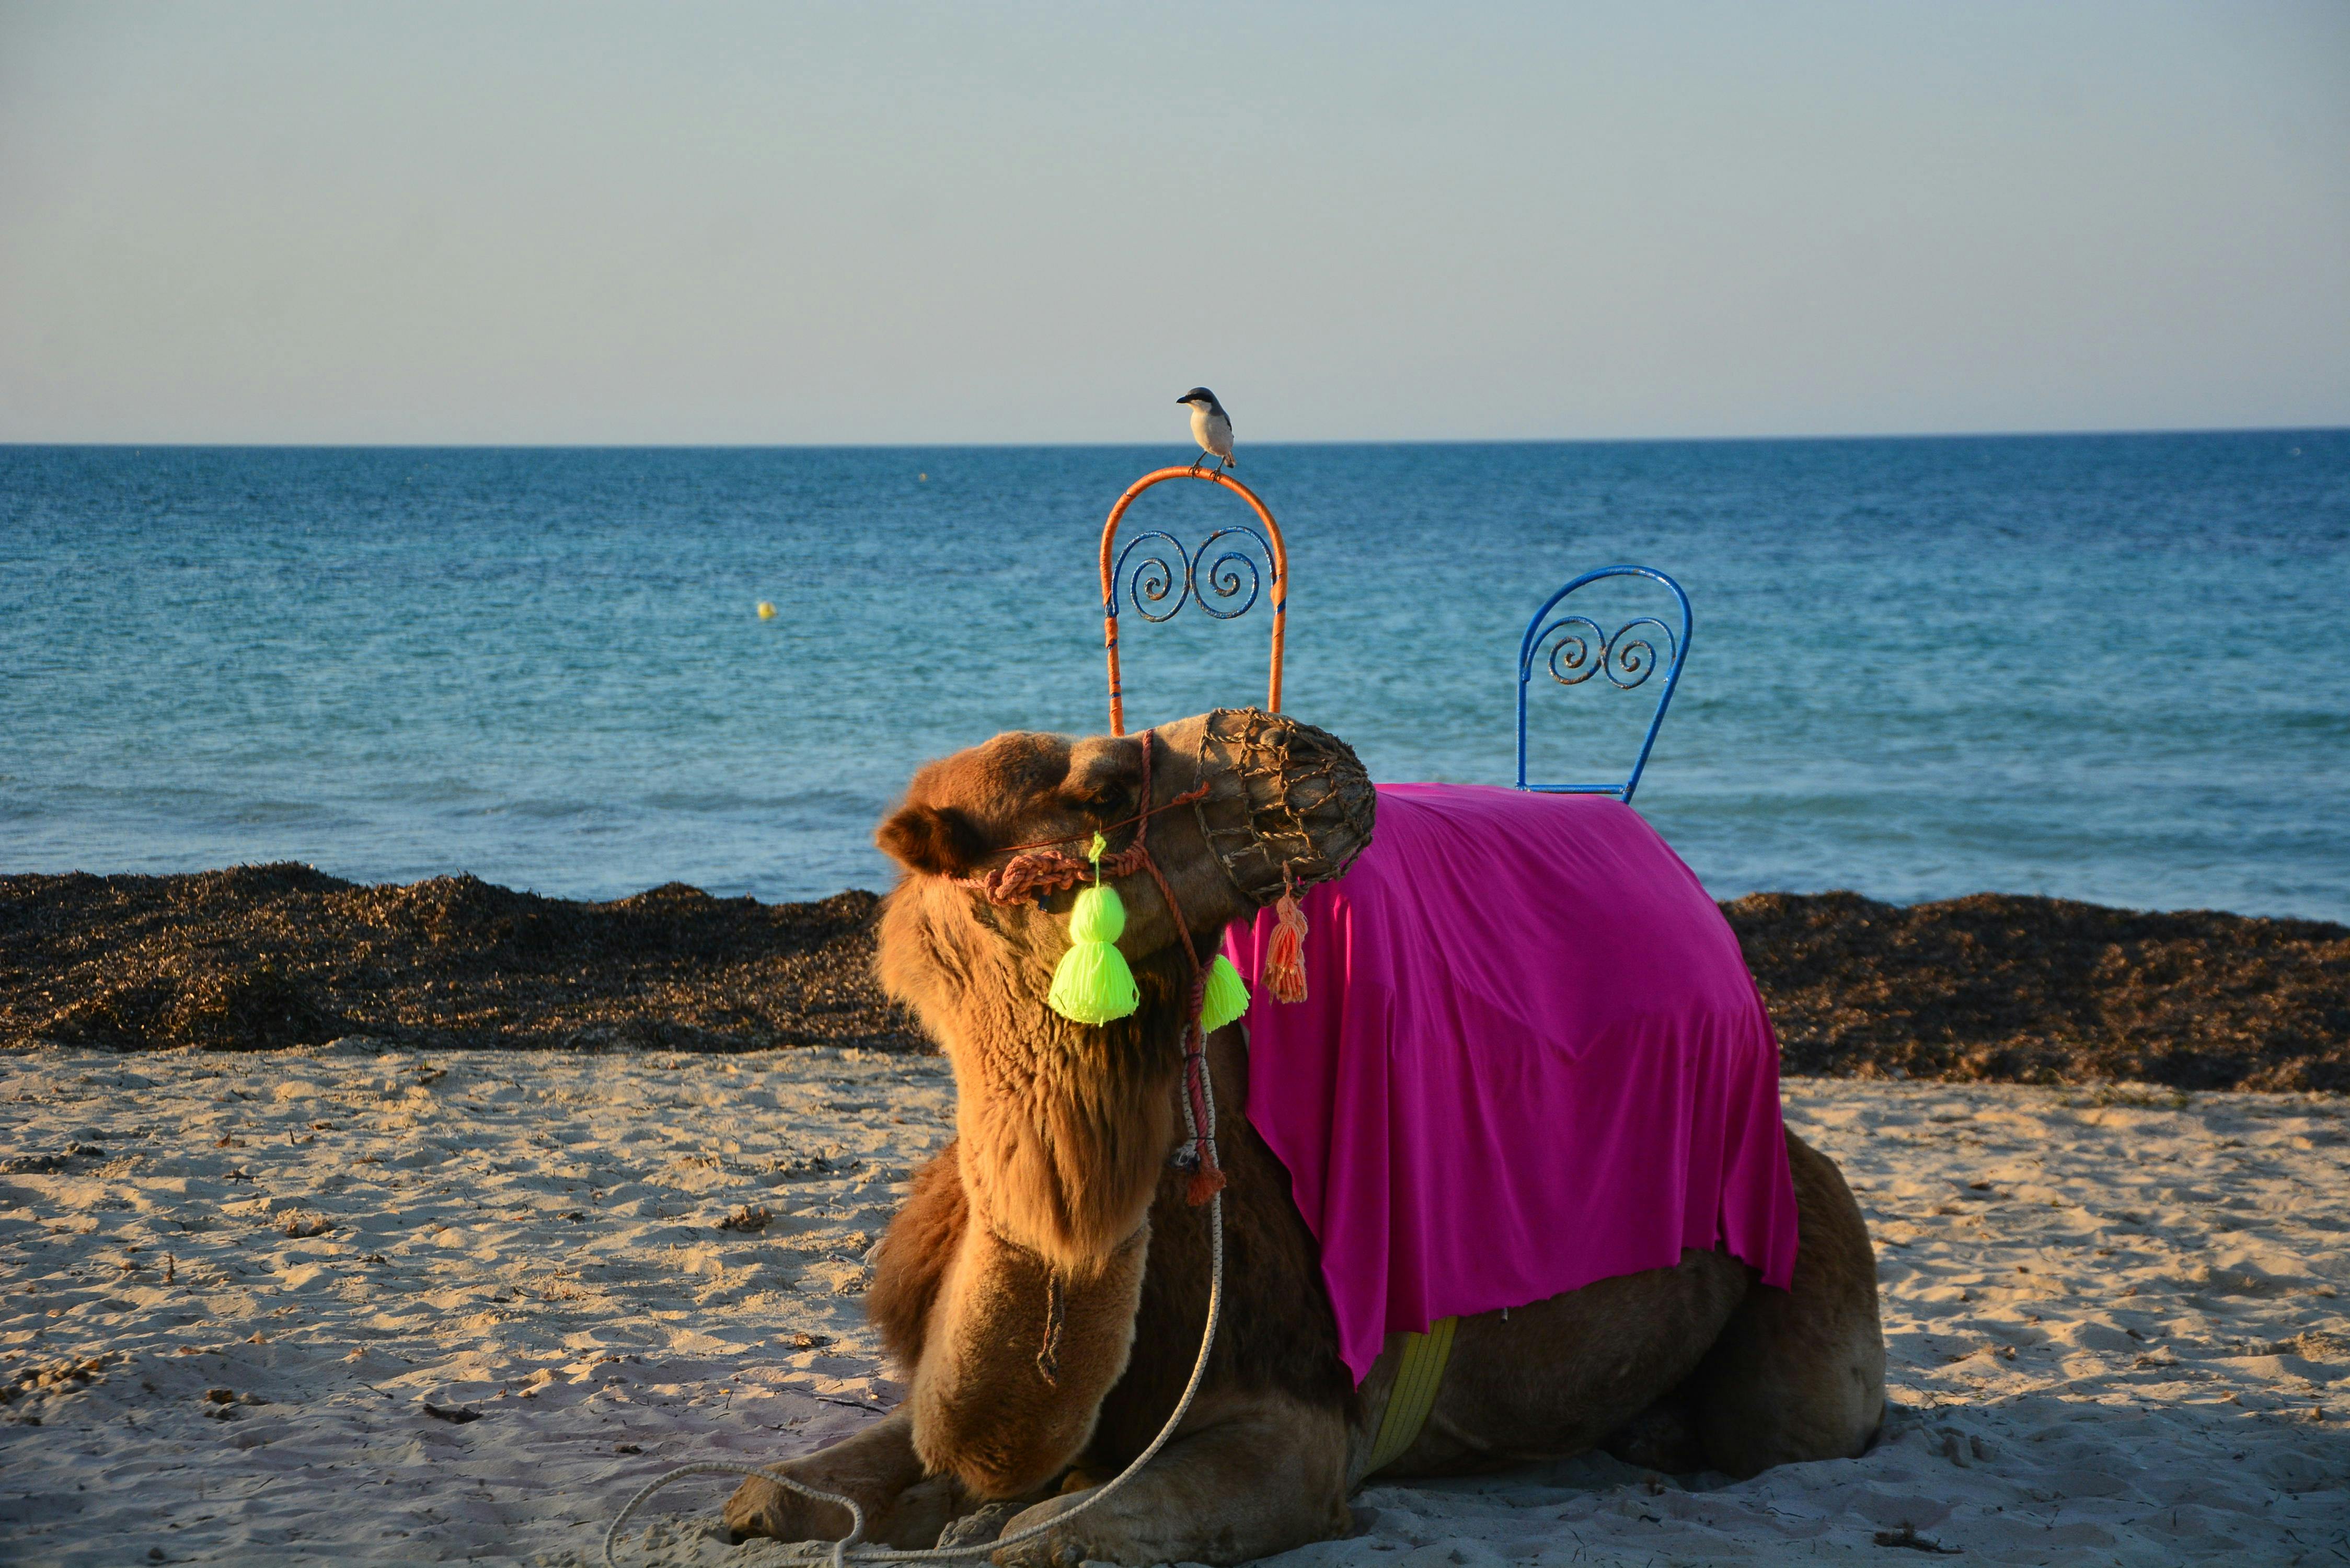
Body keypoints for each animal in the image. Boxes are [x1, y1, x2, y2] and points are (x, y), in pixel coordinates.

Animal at [724, 710, 1885, 1566]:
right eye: (1102, 788)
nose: (1310, 752)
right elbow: (770, 1496)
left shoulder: (1301, 1428)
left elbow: (1036, 1536)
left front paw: (994, 1518)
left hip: (1805, 1250)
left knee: (1801, 1423)